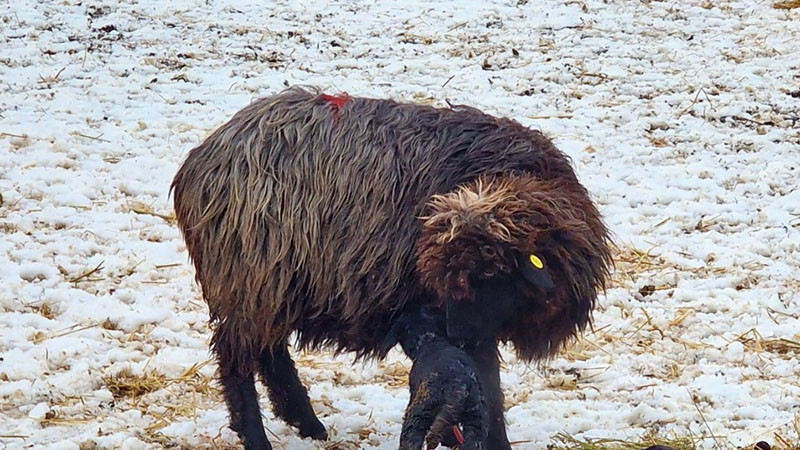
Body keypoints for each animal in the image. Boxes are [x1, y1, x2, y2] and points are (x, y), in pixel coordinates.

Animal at [170, 87, 612, 450]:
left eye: (490, 272)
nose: (455, 334)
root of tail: (203, 158)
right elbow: (488, 383)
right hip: (250, 277)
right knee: (237, 361)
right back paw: (259, 436)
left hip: (272, 285)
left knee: (271, 354)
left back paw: (307, 424)